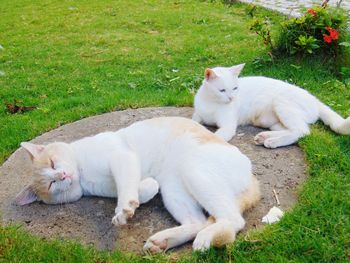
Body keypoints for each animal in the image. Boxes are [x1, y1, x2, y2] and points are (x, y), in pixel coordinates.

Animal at [15, 117, 260, 254]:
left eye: (52, 163)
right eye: (51, 185)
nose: (62, 175)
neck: (82, 174)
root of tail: (252, 176)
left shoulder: (122, 157)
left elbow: (127, 186)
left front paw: (124, 210)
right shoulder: (117, 182)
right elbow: (140, 187)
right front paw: (137, 198)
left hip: (193, 169)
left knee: (233, 220)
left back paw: (209, 237)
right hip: (173, 188)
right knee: (197, 221)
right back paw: (163, 241)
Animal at [191, 64, 350, 148]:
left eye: (235, 88)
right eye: (222, 90)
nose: (232, 98)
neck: (211, 102)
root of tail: (314, 99)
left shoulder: (228, 126)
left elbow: (215, 137)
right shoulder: (197, 115)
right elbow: (193, 122)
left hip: (281, 103)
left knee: (303, 131)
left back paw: (272, 141)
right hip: (270, 121)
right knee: (292, 130)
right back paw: (265, 137)